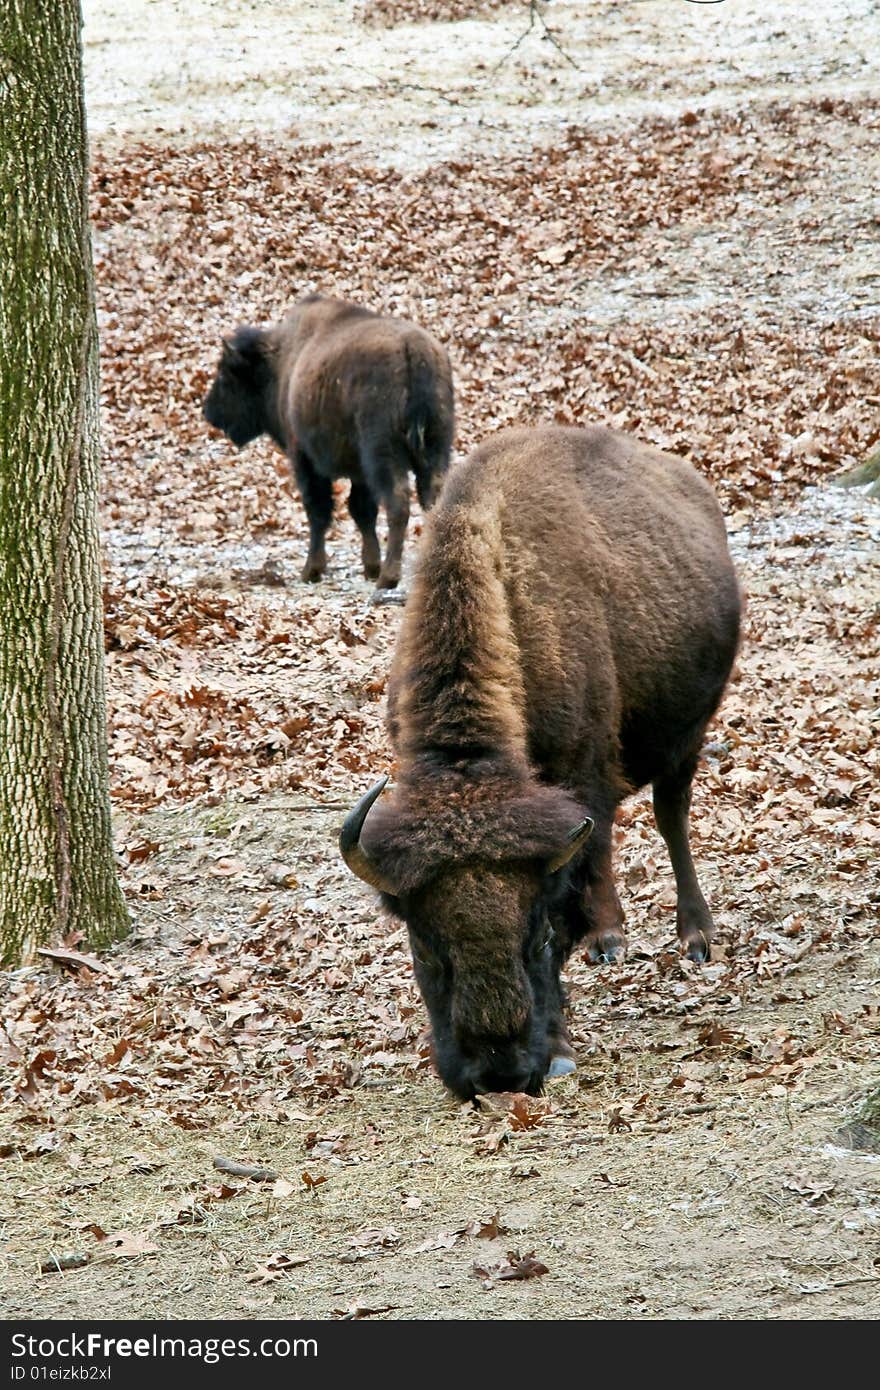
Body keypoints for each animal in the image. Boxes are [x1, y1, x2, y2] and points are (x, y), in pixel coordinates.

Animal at [202, 296, 455, 589]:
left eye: (225, 375)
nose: (208, 412)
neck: (281, 362)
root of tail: (413, 350)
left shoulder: (305, 459)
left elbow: (319, 511)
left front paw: (312, 570)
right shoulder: (359, 472)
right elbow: (361, 510)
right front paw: (370, 566)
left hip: (384, 455)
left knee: (398, 504)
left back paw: (388, 577)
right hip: (436, 450)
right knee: (434, 501)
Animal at [339, 419, 739, 1095]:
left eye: (534, 934)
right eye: (423, 948)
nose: (498, 1074)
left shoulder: (580, 784)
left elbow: (574, 891)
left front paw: (558, 1048)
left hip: (685, 736)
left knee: (670, 816)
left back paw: (695, 936)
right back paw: (611, 935)